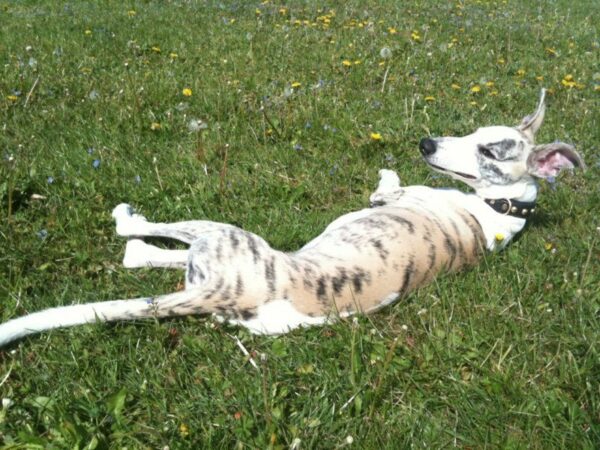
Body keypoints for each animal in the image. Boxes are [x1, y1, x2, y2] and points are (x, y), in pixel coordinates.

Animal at [0, 90, 585, 346]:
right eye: (472, 133)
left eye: (488, 149)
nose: (425, 142)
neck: (501, 209)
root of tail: (221, 295)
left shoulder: (397, 195)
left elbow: (386, 186)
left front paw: (386, 173)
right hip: (218, 260)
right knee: (155, 256)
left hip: (221, 235)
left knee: (136, 236)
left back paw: (129, 223)